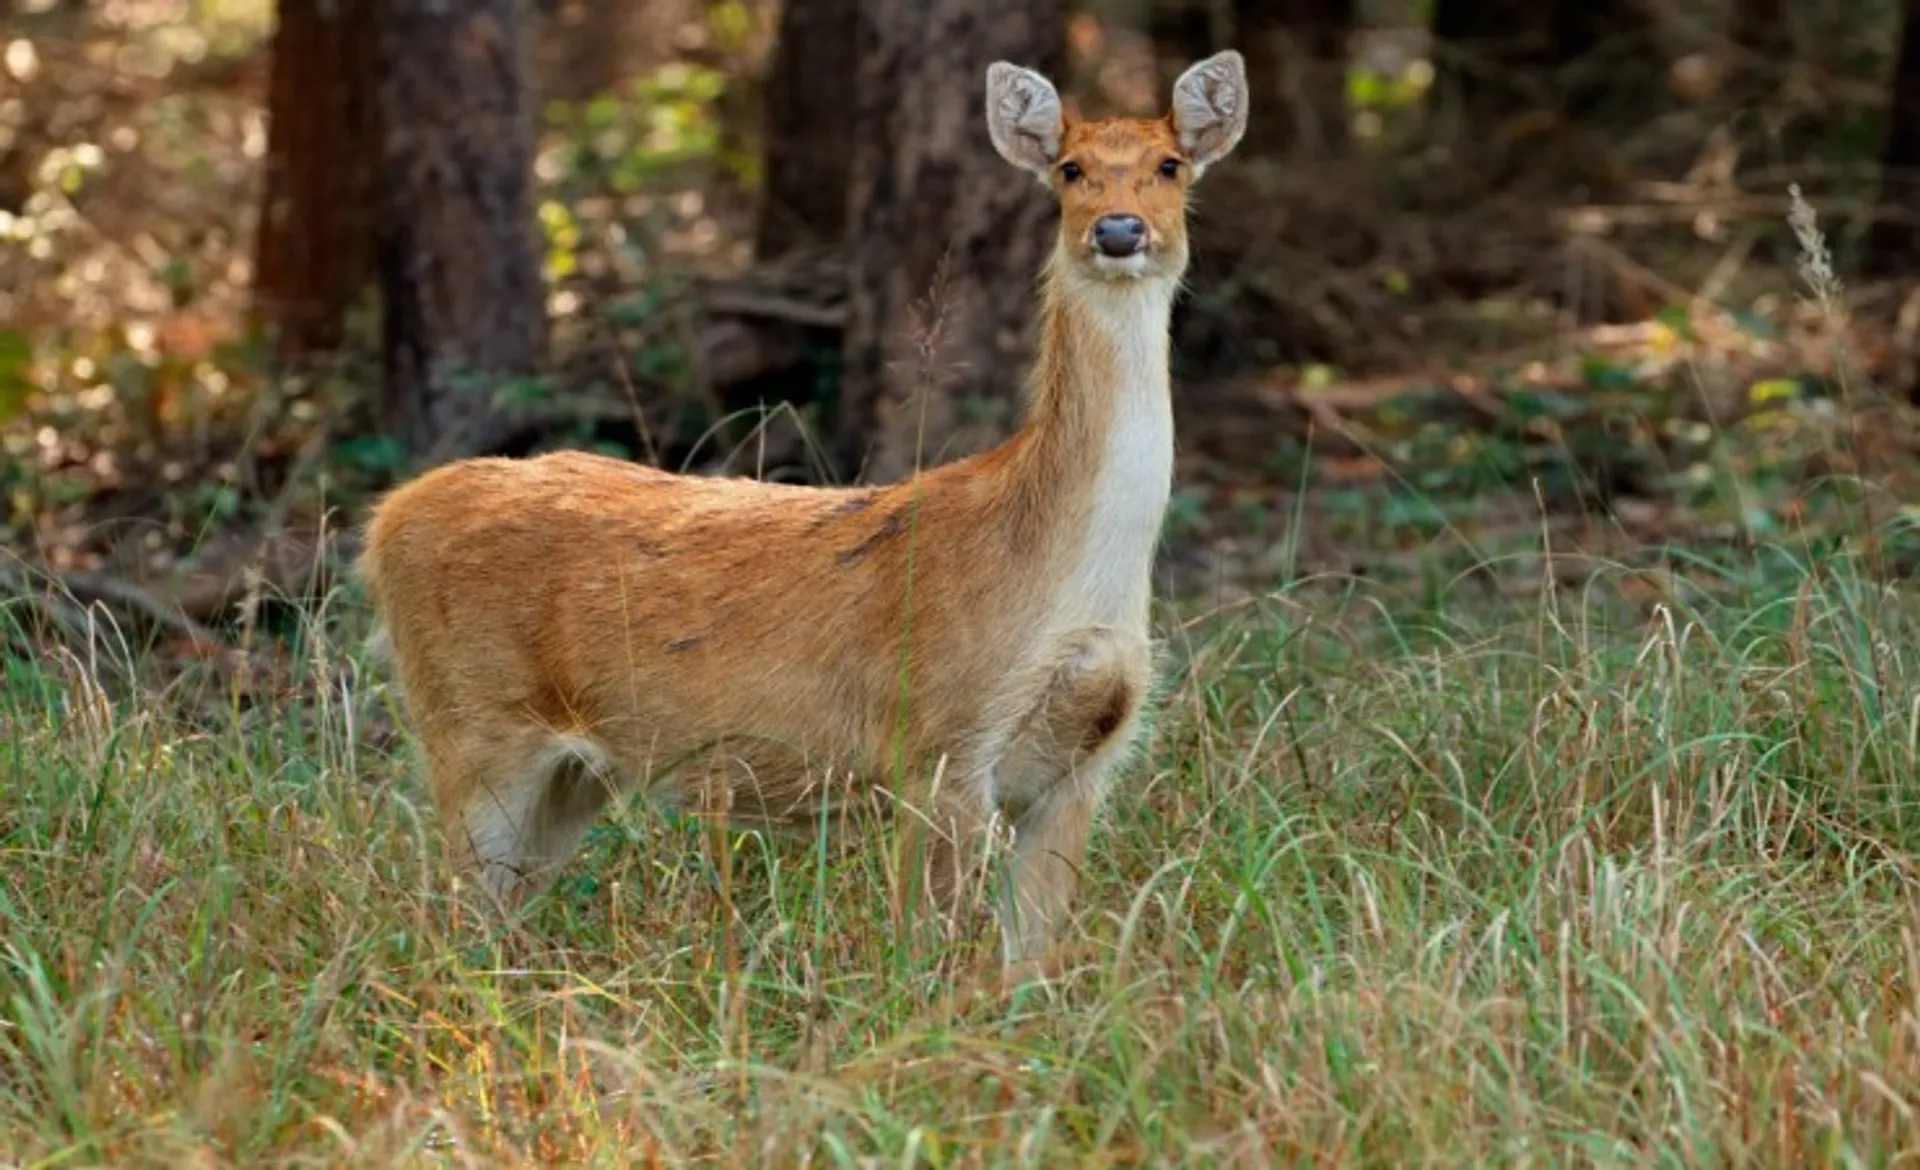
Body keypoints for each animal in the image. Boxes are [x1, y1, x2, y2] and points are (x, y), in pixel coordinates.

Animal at [355, 50, 1249, 971]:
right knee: (443, 918)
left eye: (1170, 166)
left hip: (570, 776)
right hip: (472, 723)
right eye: (1069, 169)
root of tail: (385, 524)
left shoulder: (1082, 766)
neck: (1065, 578)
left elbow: (1028, 965)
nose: (1118, 231)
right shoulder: (938, 737)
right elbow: (927, 950)